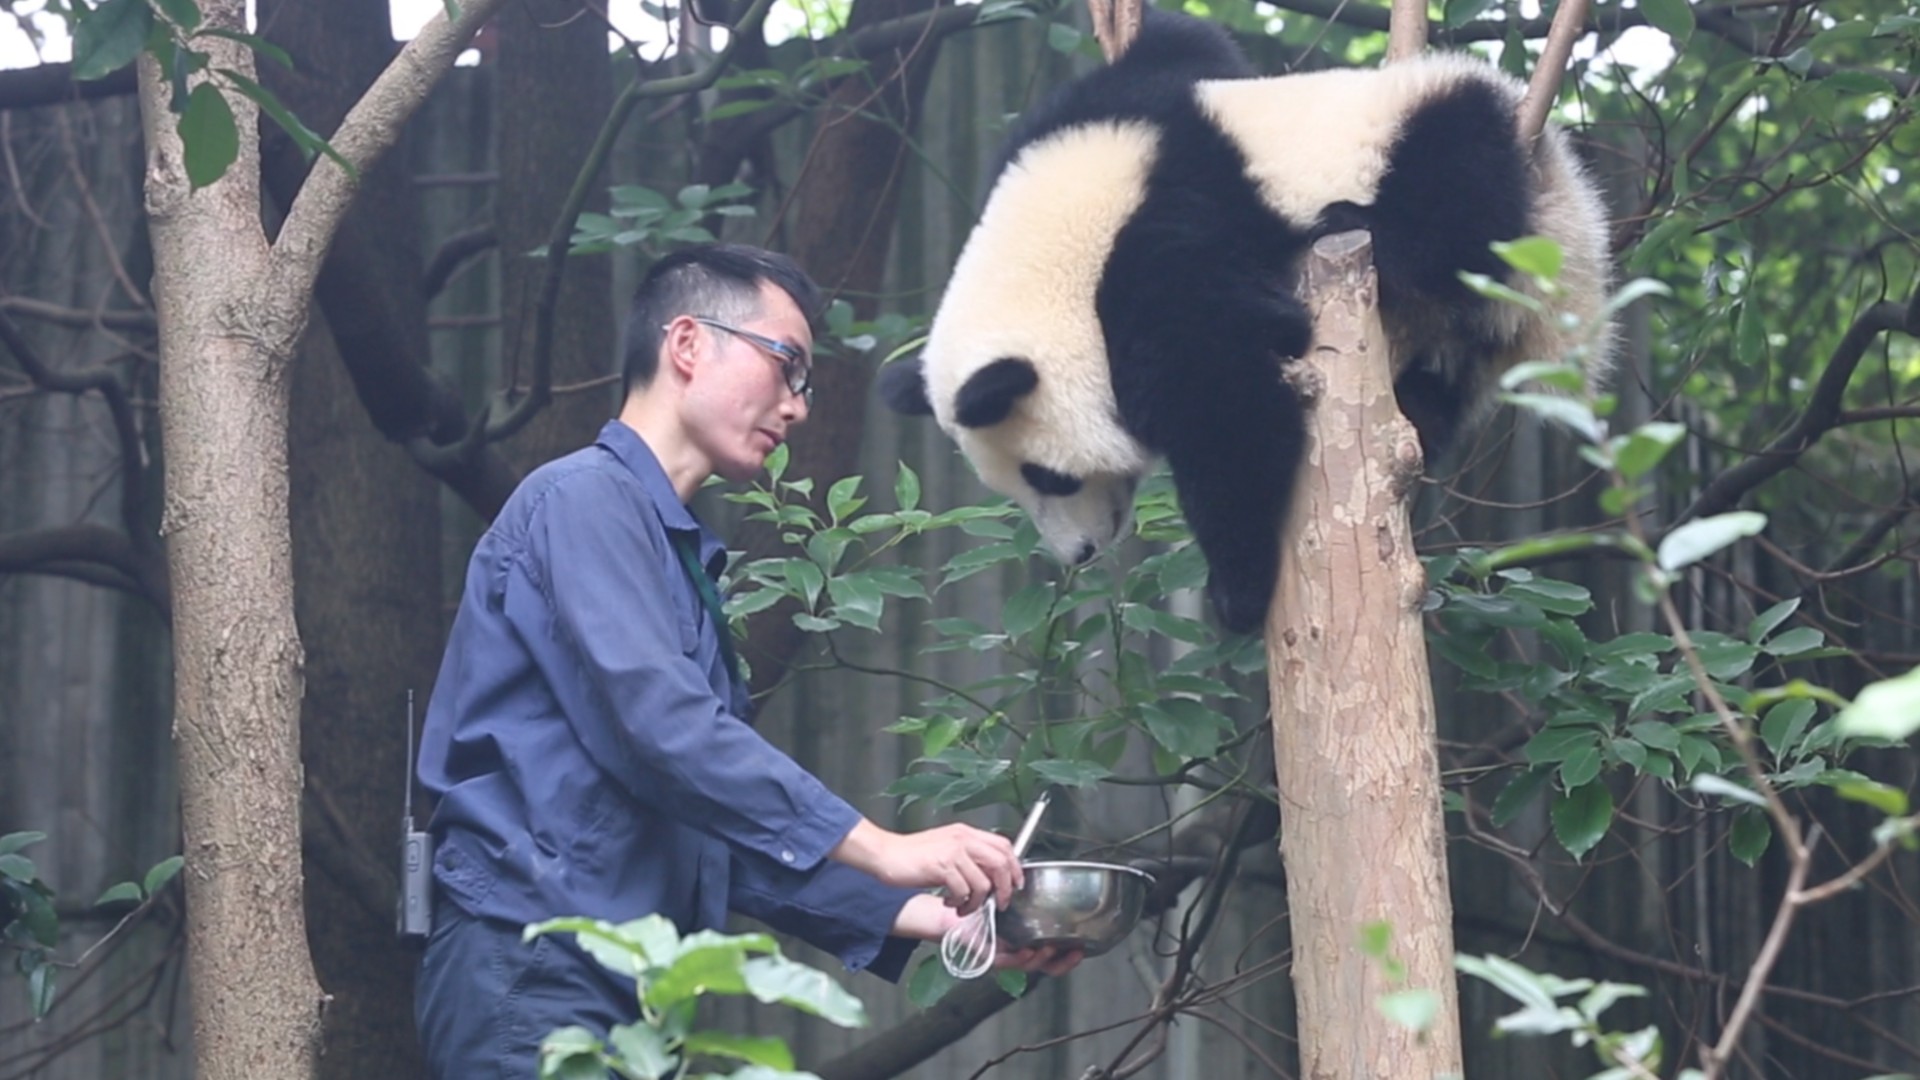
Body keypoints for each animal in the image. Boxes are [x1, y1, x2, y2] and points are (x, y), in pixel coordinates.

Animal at [880, 7, 1613, 635]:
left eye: (1047, 476)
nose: (1078, 552)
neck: (1052, 248)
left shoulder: (1155, 260)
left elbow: (1226, 403)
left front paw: (1237, 591)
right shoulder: (1110, 105)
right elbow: (1193, 44)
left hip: (1455, 155)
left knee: (1450, 206)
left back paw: (1355, 223)